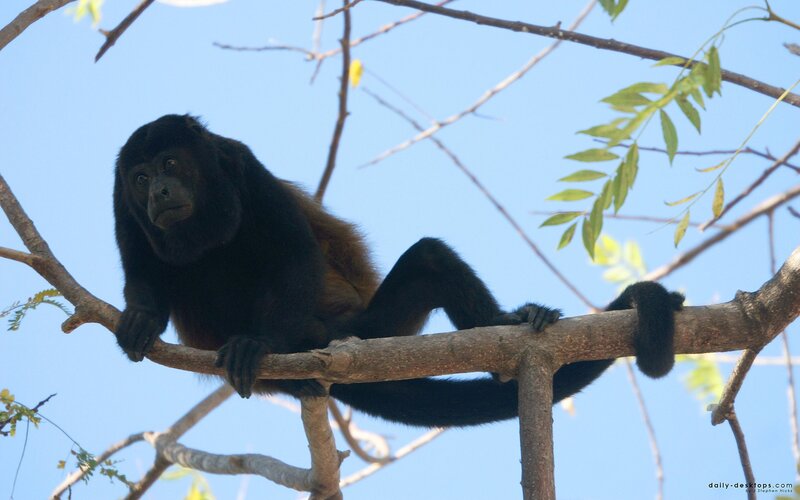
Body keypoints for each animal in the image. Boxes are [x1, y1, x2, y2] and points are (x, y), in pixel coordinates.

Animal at [113, 114, 683, 427]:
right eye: (140, 177)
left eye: (169, 164)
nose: (158, 192)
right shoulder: (119, 197)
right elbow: (140, 269)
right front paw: (141, 317)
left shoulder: (240, 163)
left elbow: (294, 253)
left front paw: (260, 342)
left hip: (371, 329)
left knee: (430, 260)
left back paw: (511, 330)